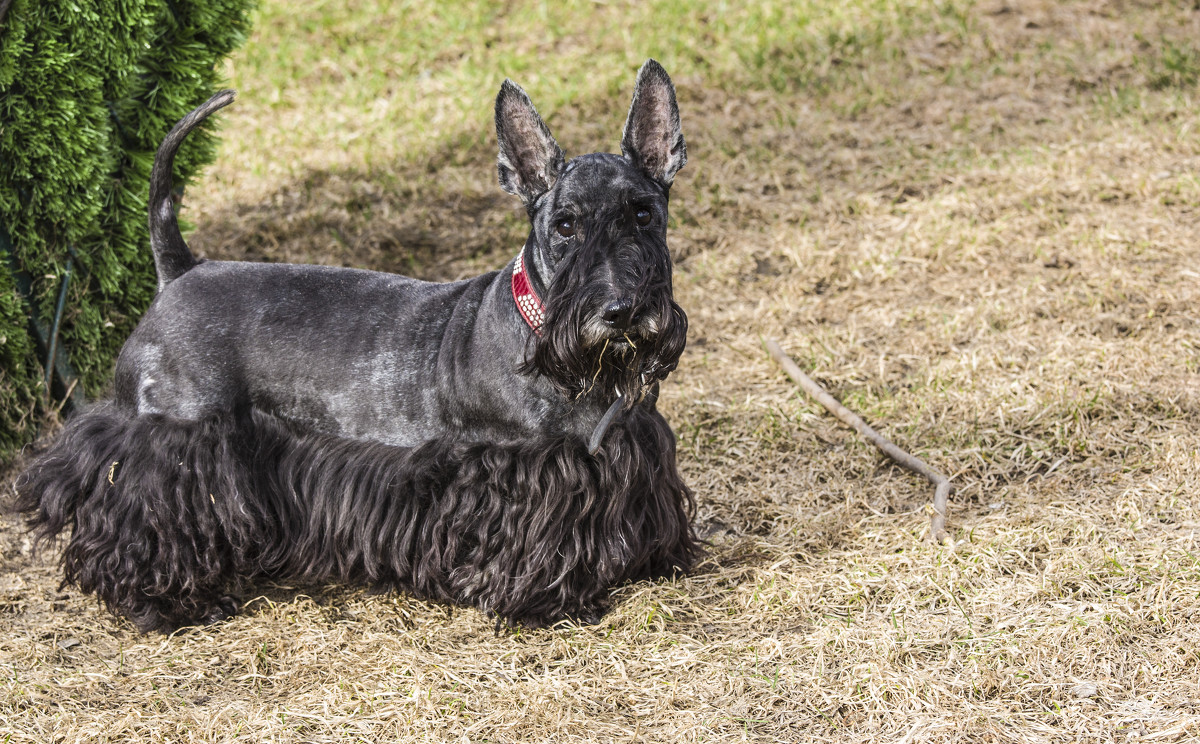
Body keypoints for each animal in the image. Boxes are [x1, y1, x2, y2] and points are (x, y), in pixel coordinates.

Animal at [14, 58, 700, 628]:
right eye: (565, 226)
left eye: (643, 213)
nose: (622, 311)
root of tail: (179, 270)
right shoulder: (513, 470)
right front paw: (550, 599)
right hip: (174, 438)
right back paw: (165, 603)